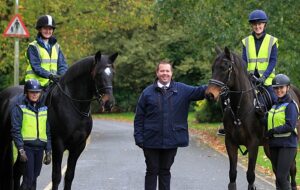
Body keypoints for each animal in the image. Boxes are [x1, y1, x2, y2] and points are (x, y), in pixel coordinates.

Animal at [0, 50, 118, 190]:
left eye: (113, 73)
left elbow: (69, 176)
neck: (74, 106)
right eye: (98, 74)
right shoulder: (58, 145)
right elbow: (56, 177)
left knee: (17, 170)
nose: (109, 103)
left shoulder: (78, 146)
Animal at [204, 46, 298, 190]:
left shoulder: (253, 144)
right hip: (269, 147)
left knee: (291, 169)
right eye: (213, 68)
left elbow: (250, 175)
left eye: (225, 67)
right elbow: (232, 174)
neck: (239, 109)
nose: (209, 94)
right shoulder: (230, 143)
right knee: (278, 171)